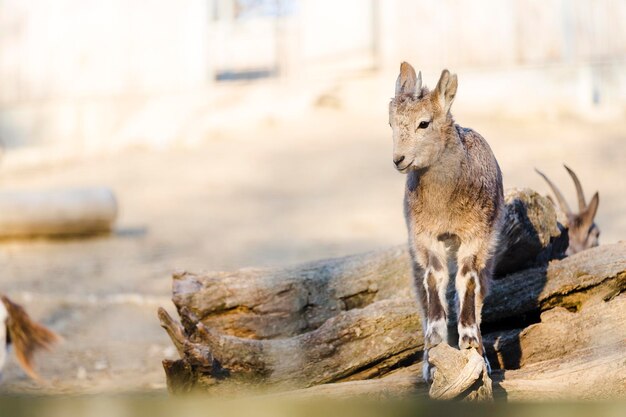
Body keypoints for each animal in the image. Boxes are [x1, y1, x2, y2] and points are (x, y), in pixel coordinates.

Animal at [390, 62, 502, 380]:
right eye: (391, 124)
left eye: (424, 123)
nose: (399, 159)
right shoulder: (425, 236)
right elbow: (435, 277)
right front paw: (436, 340)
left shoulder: (476, 234)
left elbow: (466, 280)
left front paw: (469, 342)